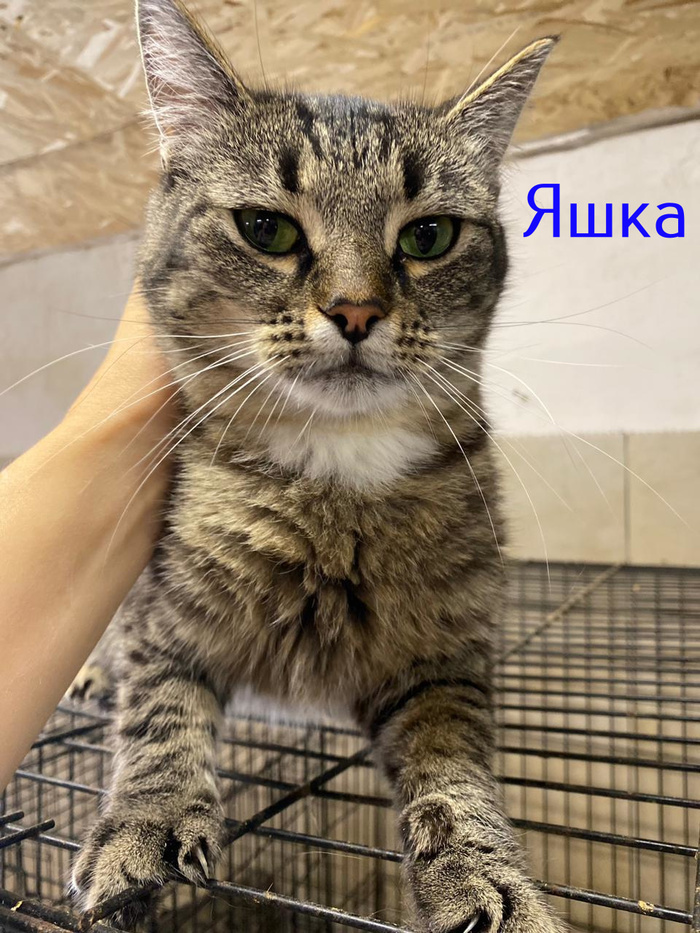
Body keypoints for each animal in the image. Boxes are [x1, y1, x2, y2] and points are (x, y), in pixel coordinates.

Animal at [70, 1, 563, 931]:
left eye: (429, 235)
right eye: (266, 228)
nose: (356, 309)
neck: (336, 474)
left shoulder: (444, 662)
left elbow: (455, 782)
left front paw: (492, 879)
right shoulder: (161, 614)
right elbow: (158, 714)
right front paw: (147, 818)